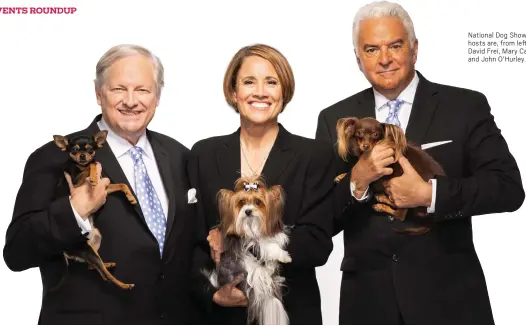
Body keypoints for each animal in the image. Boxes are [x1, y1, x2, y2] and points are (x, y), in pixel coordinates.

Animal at [52, 130, 136, 290]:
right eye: (74, 150)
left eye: (90, 149)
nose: (83, 155)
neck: (79, 165)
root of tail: (65, 251)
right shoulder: (76, 182)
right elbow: (91, 165)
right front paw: (93, 176)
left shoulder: (106, 188)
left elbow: (122, 185)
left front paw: (131, 198)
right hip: (88, 250)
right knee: (106, 276)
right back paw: (124, 285)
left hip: (96, 240)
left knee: (95, 268)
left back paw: (108, 264)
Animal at [202, 176, 292, 324]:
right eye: (242, 202)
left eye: (258, 202)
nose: (248, 211)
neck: (252, 225)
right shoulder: (248, 241)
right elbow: (265, 245)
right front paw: (283, 255)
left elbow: (274, 240)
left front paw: (283, 254)